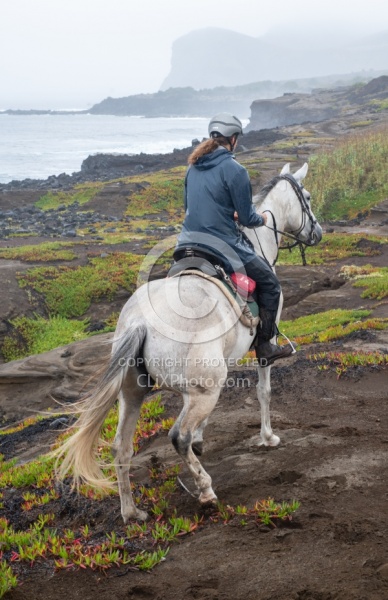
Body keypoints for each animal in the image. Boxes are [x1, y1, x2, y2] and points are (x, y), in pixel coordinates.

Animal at [54, 162, 322, 524]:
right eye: (306, 196)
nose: (318, 233)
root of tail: (140, 322)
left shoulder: (191, 389)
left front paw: (200, 439)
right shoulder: (262, 347)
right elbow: (263, 391)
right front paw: (267, 437)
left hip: (133, 393)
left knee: (121, 446)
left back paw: (131, 511)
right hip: (204, 389)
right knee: (175, 437)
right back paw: (206, 490)